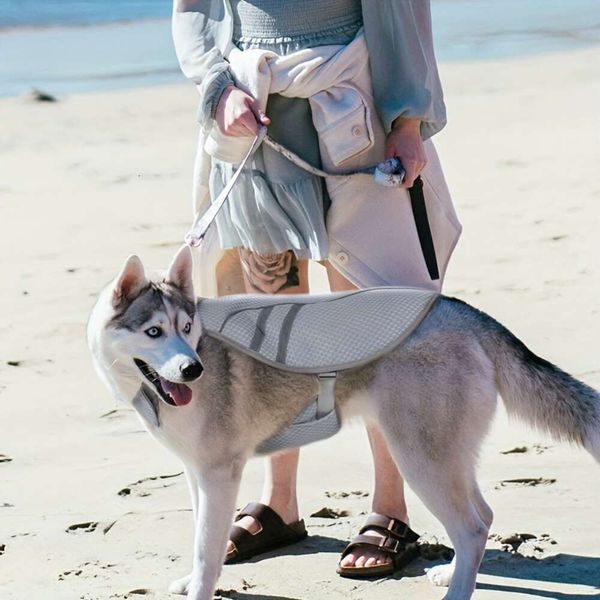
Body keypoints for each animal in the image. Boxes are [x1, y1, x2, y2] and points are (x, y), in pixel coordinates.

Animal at [88, 245, 600, 600]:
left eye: (186, 328)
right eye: (154, 331)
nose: (192, 369)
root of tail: (466, 312)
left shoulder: (219, 475)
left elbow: (206, 546)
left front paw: (201, 588)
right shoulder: (198, 474)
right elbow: (202, 539)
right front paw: (191, 579)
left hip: (419, 459)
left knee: (471, 528)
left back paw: (458, 590)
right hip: (447, 456)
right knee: (482, 517)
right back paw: (454, 573)